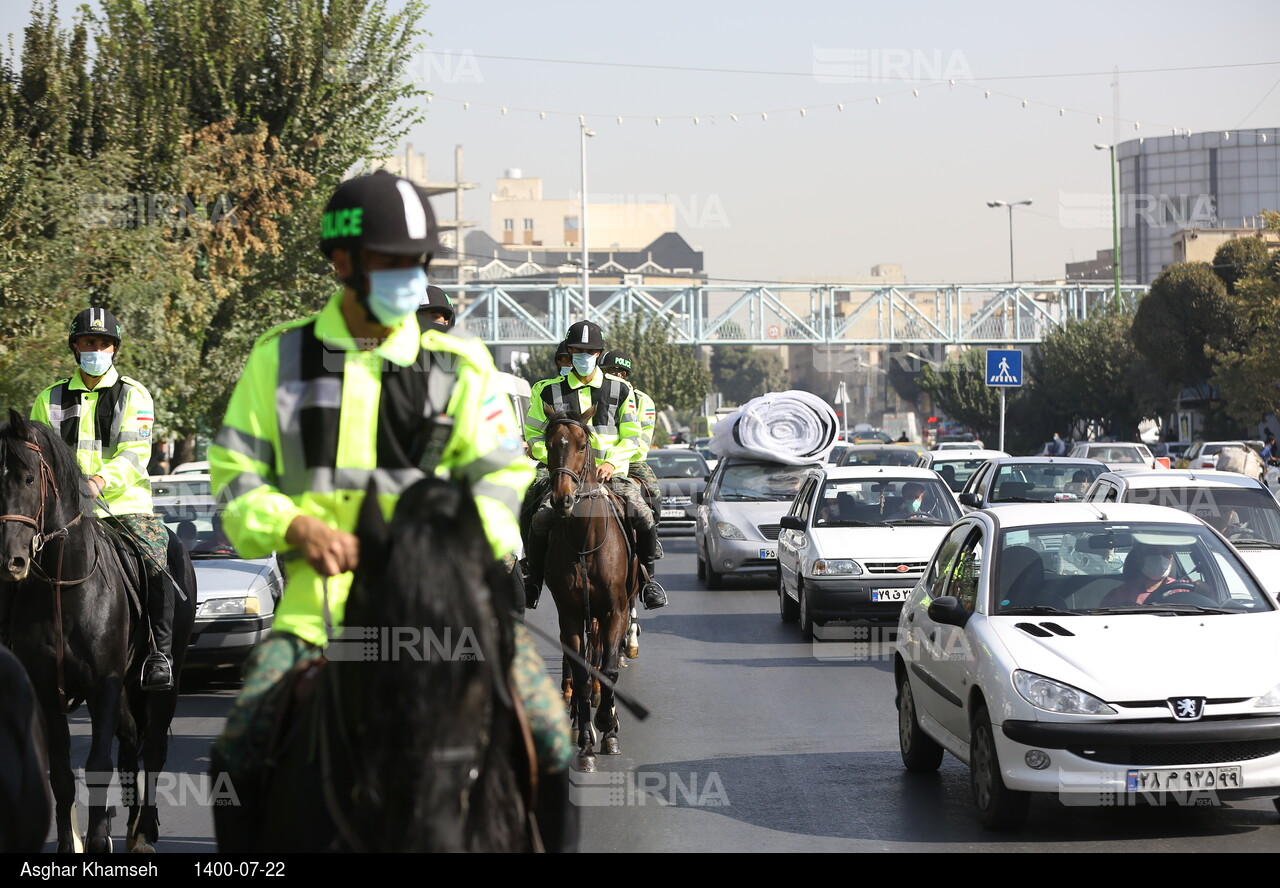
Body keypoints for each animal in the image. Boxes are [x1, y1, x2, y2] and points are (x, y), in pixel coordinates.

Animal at [0, 412, 194, 854]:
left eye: (28, 479)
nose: (10, 560)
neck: (62, 584)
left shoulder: (102, 684)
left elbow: (97, 766)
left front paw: (97, 841)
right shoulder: (46, 689)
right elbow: (61, 774)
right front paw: (70, 844)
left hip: (163, 683)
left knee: (153, 751)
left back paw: (145, 832)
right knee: (130, 742)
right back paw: (133, 827)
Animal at [542, 409, 637, 772]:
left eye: (583, 445)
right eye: (548, 445)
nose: (562, 499)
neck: (585, 543)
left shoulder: (615, 610)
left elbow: (607, 669)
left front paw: (608, 728)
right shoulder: (569, 615)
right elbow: (581, 673)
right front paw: (584, 743)